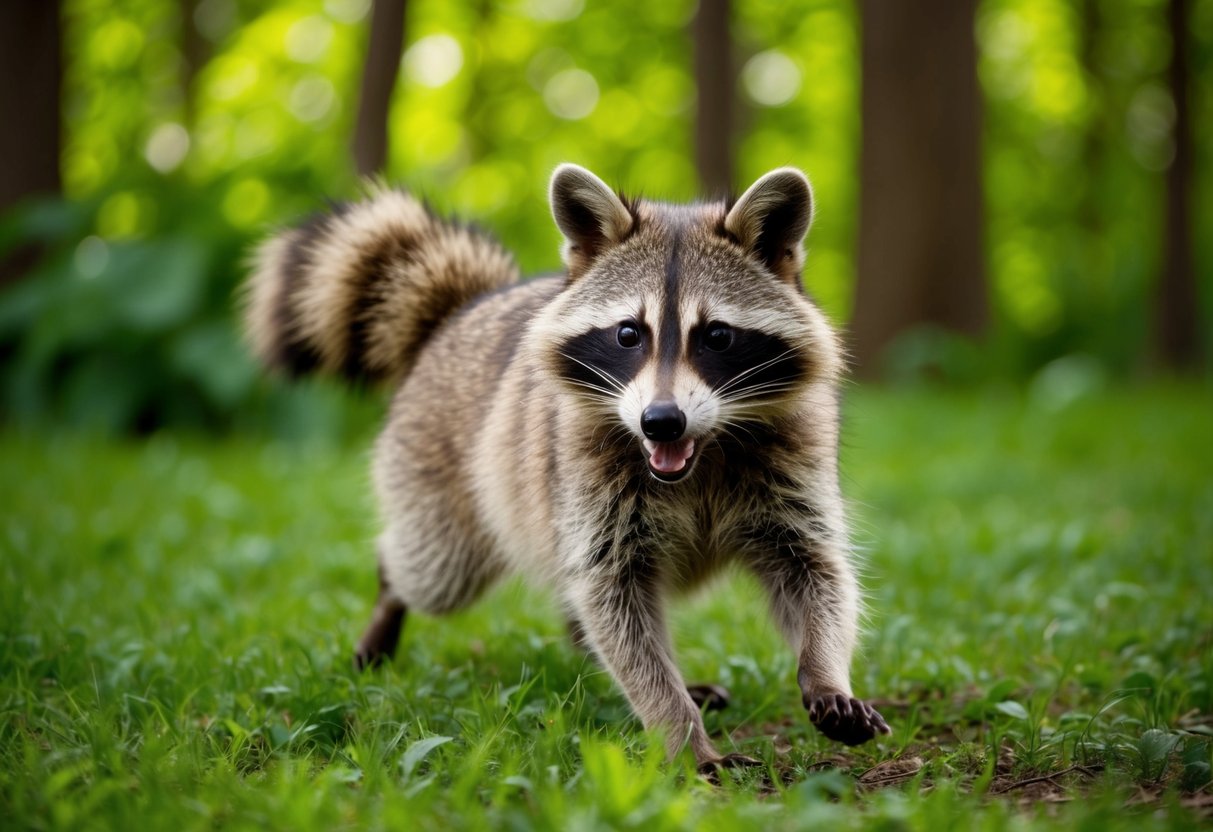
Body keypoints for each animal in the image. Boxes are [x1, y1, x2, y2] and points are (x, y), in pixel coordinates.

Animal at [244, 164, 890, 773]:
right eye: (629, 333)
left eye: (718, 336)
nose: (662, 422)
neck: (700, 454)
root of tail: (459, 315)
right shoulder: (584, 469)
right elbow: (614, 600)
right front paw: (680, 730)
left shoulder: (794, 463)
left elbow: (817, 573)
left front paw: (825, 671)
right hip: (441, 473)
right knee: (436, 570)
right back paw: (389, 595)